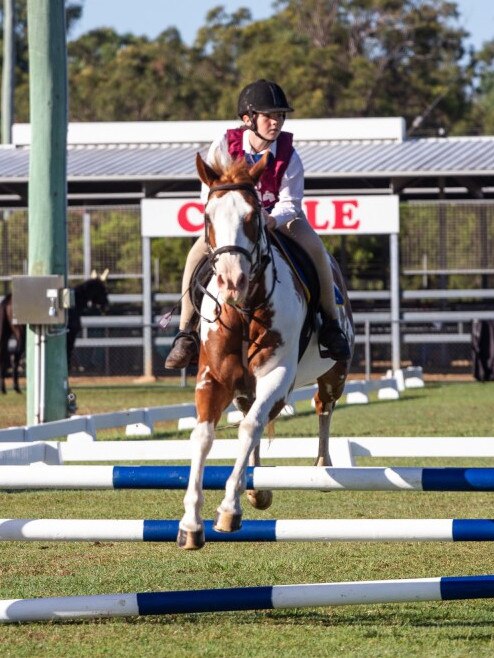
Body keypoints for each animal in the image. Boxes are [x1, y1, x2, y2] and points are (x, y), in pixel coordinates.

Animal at [178, 154, 356, 548]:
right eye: (207, 217)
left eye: (253, 217)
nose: (232, 282)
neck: (244, 309)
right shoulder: (213, 378)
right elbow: (203, 436)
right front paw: (191, 524)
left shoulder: (278, 377)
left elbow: (249, 428)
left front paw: (228, 510)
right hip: (244, 387)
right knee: (250, 413)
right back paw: (254, 484)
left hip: (334, 374)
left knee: (322, 406)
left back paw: (321, 467)